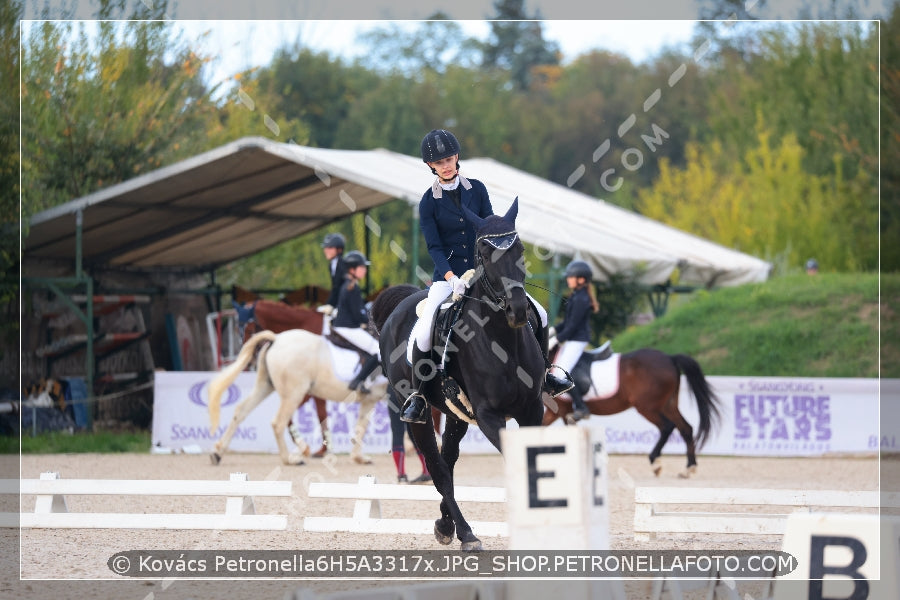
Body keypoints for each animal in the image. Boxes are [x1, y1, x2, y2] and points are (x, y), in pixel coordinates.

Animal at [209, 328, 388, 464]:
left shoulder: (370, 400)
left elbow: (361, 428)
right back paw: (290, 459)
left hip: (266, 386)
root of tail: (277, 339)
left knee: (241, 411)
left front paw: (359, 458)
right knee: (278, 423)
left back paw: (217, 453)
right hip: (294, 394)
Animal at [370, 199, 544, 552]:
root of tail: (400, 304)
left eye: (519, 248)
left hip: (456, 414)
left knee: (448, 462)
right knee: (438, 468)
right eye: (484, 254)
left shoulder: (532, 411)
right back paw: (466, 533)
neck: (504, 342)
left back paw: (445, 525)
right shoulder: (490, 416)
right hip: (419, 415)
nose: (518, 310)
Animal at [540, 346, 724, 478]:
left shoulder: (560, 411)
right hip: (668, 405)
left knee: (667, 427)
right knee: (685, 428)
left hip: (647, 407)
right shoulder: (555, 413)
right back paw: (688, 468)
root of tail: (670, 358)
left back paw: (656, 462)